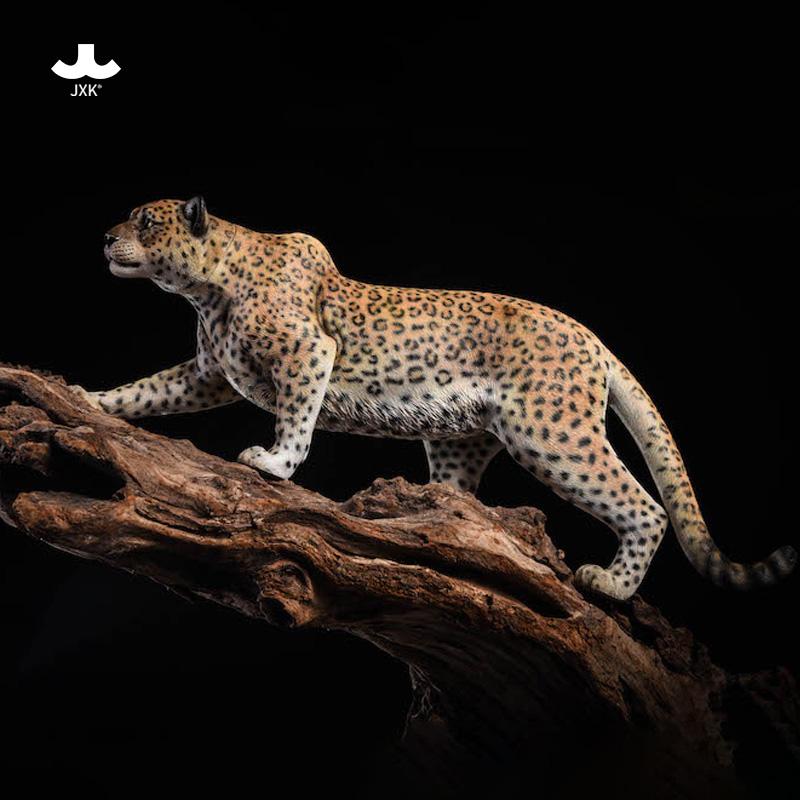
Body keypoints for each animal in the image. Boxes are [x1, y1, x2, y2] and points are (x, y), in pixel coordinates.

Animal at [71, 196, 796, 601]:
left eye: (145, 220)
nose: (104, 238)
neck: (205, 289)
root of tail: (593, 339)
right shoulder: (209, 374)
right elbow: (147, 391)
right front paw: (91, 399)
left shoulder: (309, 351)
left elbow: (296, 415)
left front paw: (274, 464)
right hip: (460, 442)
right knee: (463, 502)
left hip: (552, 434)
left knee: (645, 505)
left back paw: (611, 586)